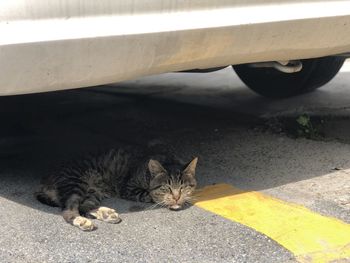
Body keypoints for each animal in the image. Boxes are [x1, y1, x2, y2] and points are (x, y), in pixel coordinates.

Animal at [37, 147, 200, 232]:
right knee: (68, 210)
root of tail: (46, 180)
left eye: (183, 187)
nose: (177, 197)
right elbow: (150, 195)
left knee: (84, 206)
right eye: (167, 187)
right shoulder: (128, 188)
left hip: (92, 192)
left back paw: (106, 214)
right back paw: (81, 221)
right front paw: (169, 201)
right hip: (75, 183)